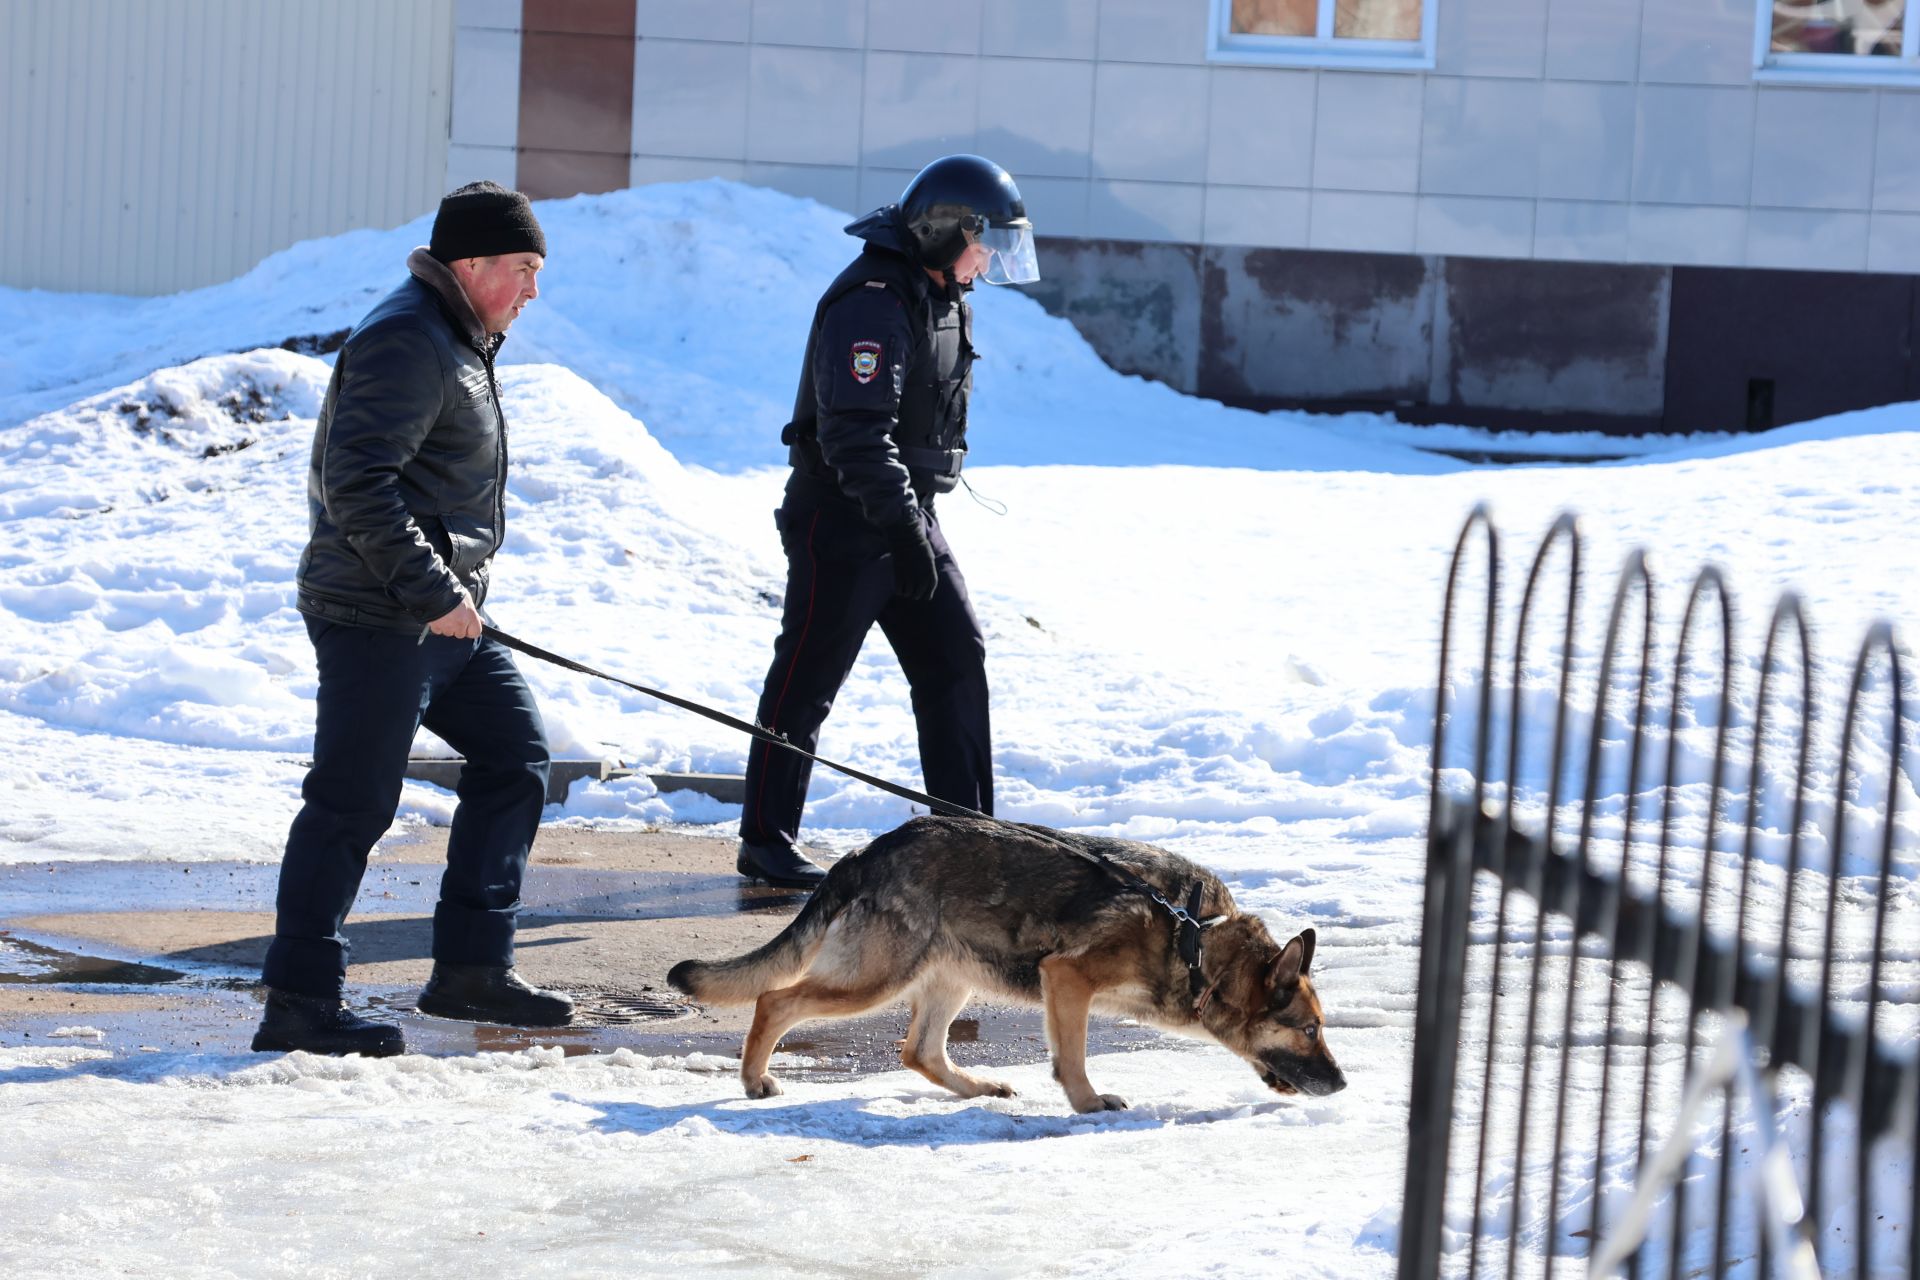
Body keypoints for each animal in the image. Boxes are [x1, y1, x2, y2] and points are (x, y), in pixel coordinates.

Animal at [668, 821, 1344, 1113]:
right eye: (1310, 1030)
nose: (1342, 1084)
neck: (1201, 938)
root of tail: (864, 853)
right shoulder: (1068, 980)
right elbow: (1073, 1058)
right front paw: (1088, 1103)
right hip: (877, 978)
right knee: (776, 1000)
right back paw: (754, 1079)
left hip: (951, 978)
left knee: (919, 1051)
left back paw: (978, 1088)